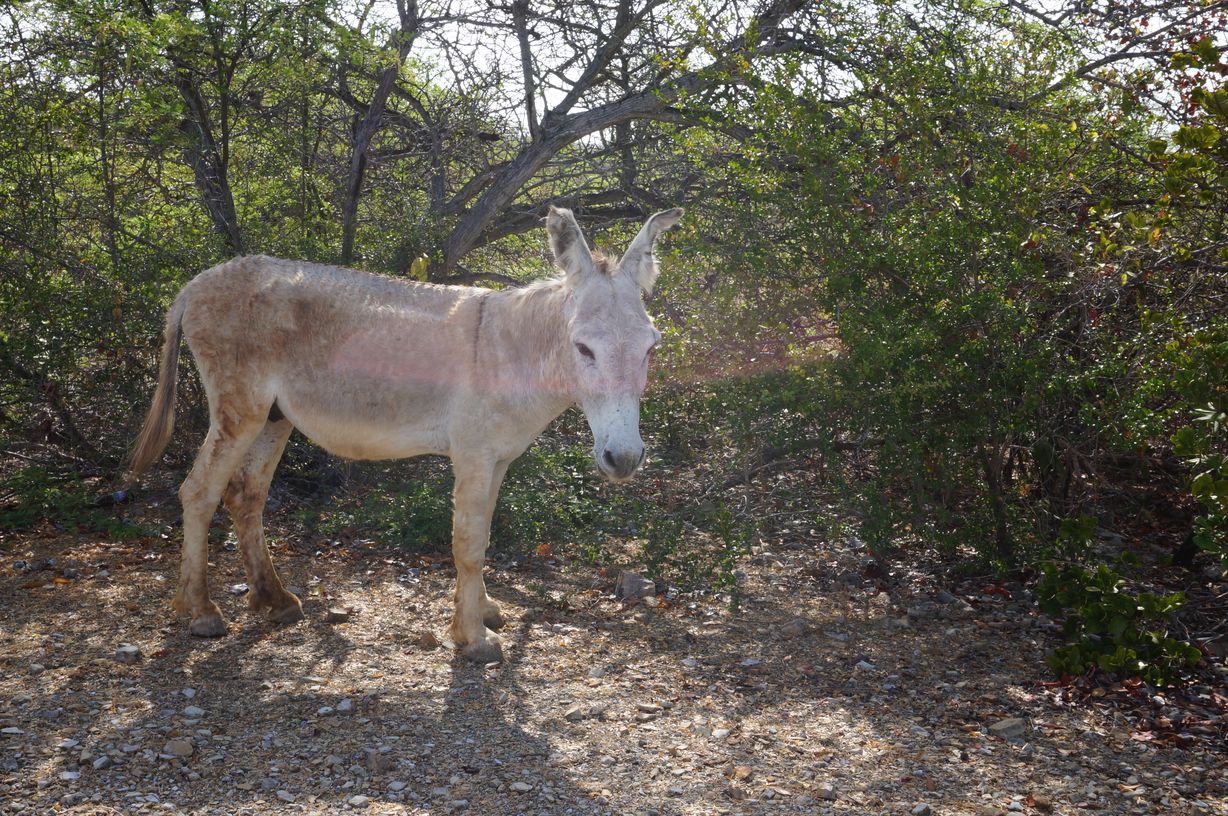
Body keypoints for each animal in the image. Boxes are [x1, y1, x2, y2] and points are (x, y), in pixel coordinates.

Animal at [126, 206, 683, 662]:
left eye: (651, 347)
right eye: (584, 348)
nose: (624, 458)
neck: (516, 353)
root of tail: (194, 286)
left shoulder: (499, 457)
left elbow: (484, 534)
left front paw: (484, 611)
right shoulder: (473, 453)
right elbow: (467, 542)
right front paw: (473, 639)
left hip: (273, 416)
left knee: (246, 496)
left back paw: (275, 601)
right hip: (239, 407)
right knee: (199, 492)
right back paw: (201, 612)